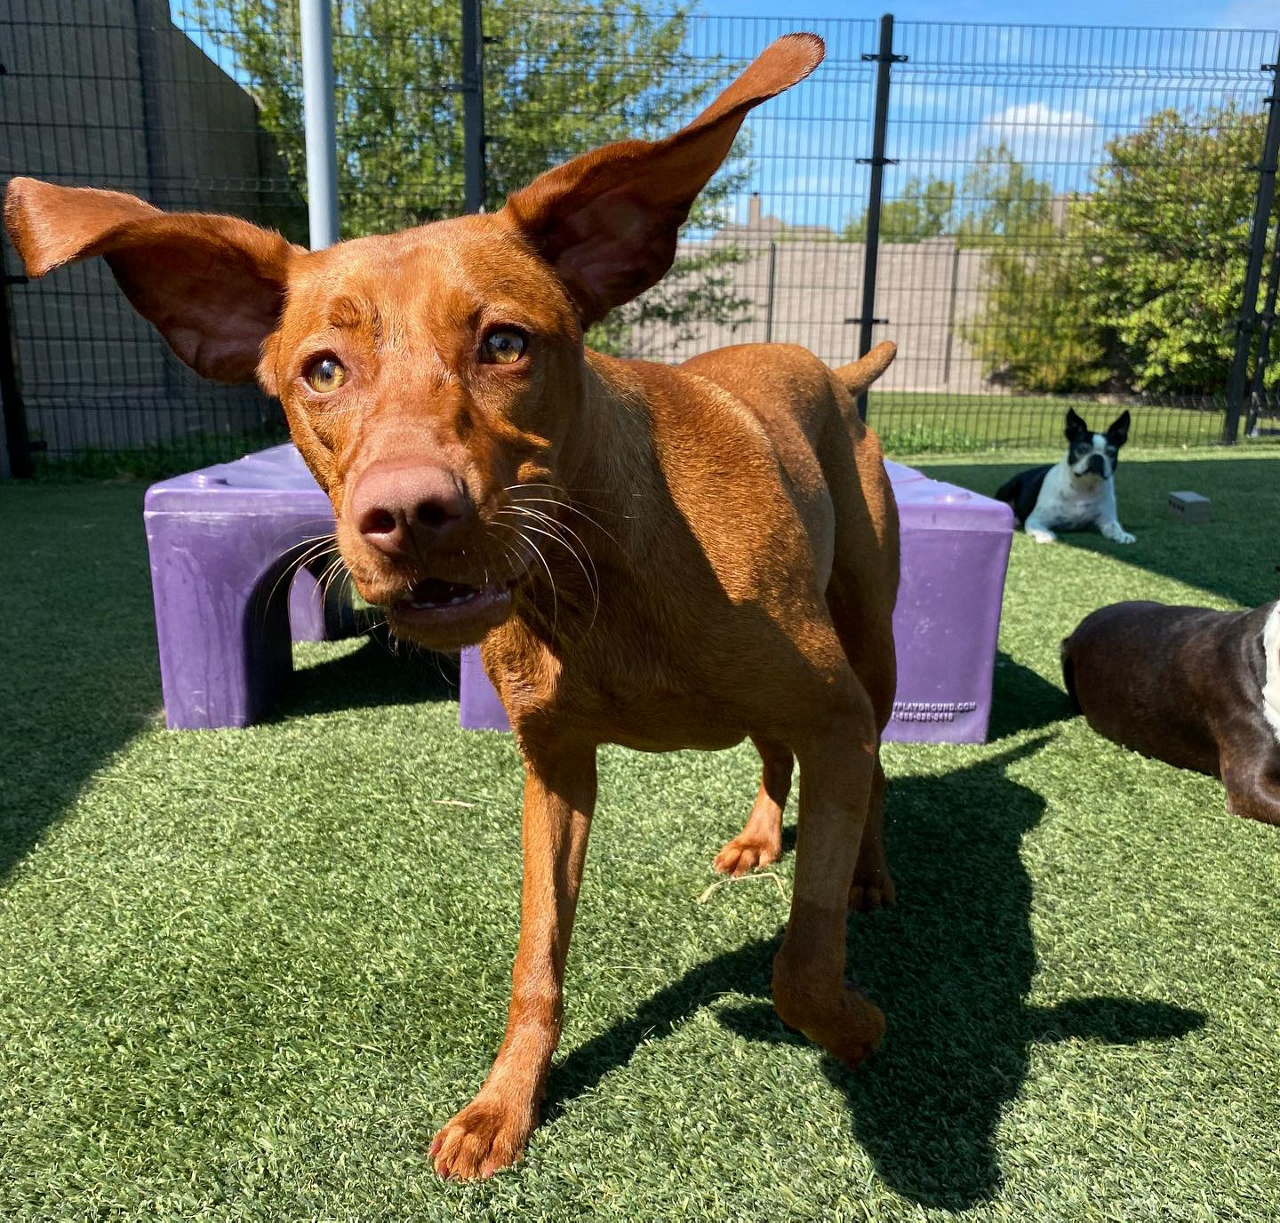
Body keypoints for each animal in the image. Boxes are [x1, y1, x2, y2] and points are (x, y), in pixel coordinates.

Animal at [5, 33, 901, 1183]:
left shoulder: (832, 709)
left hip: (872, 638)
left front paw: (853, 1022)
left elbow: (800, 957)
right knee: (771, 751)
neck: (597, 580)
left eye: (506, 343)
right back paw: (757, 834)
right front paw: (504, 1102)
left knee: (872, 766)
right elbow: (537, 960)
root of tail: (827, 365)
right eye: (321, 369)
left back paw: (869, 870)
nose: (406, 515)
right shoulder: (554, 772)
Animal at [993, 412, 1136, 545]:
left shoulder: (1107, 520)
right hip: (1009, 487)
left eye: (1111, 453)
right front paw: (1045, 535)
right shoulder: (1036, 519)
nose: (1097, 457)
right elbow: (1039, 528)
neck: (1084, 487)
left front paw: (1123, 535)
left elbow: (1115, 526)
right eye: (1082, 449)